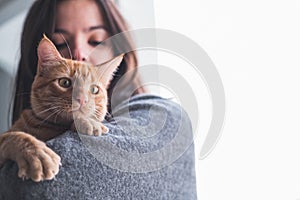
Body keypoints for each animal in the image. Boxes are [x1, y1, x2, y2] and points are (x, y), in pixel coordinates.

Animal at [0, 35, 123, 182]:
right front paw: (37, 155)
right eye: (64, 82)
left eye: (94, 89)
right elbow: (14, 136)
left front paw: (88, 122)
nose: (82, 99)